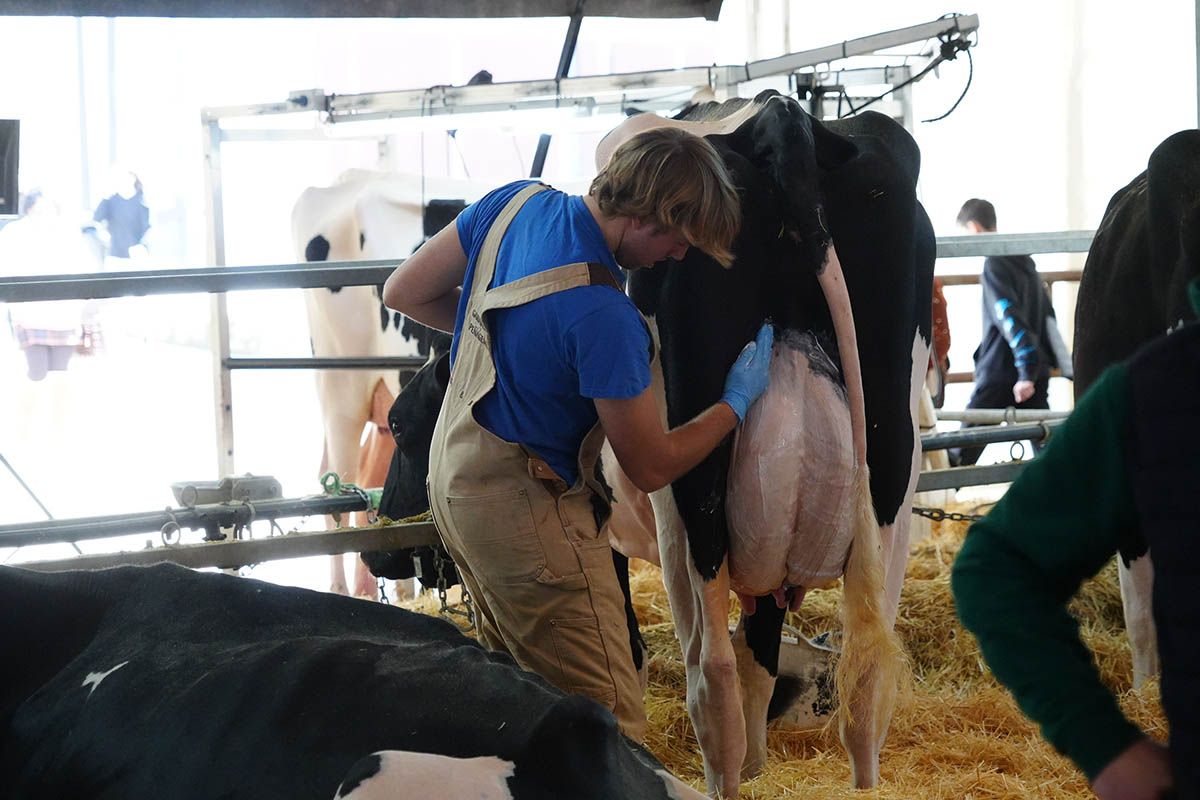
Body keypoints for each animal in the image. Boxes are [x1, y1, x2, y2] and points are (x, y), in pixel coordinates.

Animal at [604, 90, 931, 796]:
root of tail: (782, 117)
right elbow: (763, 642)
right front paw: (761, 760)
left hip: (687, 498)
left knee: (710, 673)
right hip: (894, 457)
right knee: (867, 671)